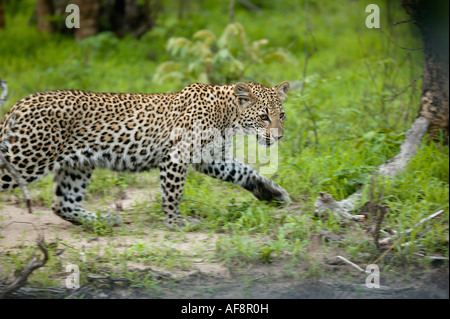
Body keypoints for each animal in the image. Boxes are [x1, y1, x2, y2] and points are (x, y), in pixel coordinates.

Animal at [0, 82, 292, 228]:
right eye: (264, 116)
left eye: (282, 115)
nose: (278, 137)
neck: (229, 115)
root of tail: (18, 104)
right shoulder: (177, 156)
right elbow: (173, 193)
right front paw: (176, 222)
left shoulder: (209, 159)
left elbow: (244, 171)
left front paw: (271, 192)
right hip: (26, 159)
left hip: (77, 165)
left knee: (63, 204)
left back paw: (103, 220)